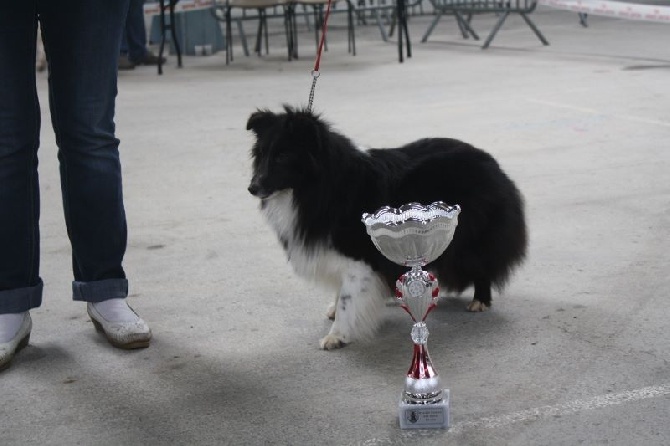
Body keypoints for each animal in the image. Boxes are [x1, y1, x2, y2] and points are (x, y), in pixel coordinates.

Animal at [247, 107, 532, 348]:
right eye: (261, 154)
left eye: (283, 156)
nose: (252, 187)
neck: (323, 185)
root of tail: (490, 161)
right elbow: (343, 291)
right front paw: (335, 310)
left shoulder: (358, 256)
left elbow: (349, 297)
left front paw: (337, 335)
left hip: (470, 234)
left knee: (482, 261)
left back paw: (480, 300)